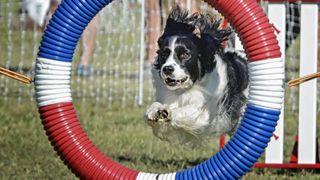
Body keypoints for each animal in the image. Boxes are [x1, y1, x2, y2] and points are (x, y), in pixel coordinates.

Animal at [144, 5, 249, 146]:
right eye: (164, 53)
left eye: (185, 54)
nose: (167, 69)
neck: (184, 89)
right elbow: (155, 107)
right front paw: (154, 111)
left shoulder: (206, 114)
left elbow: (189, 111)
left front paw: (168, 113)